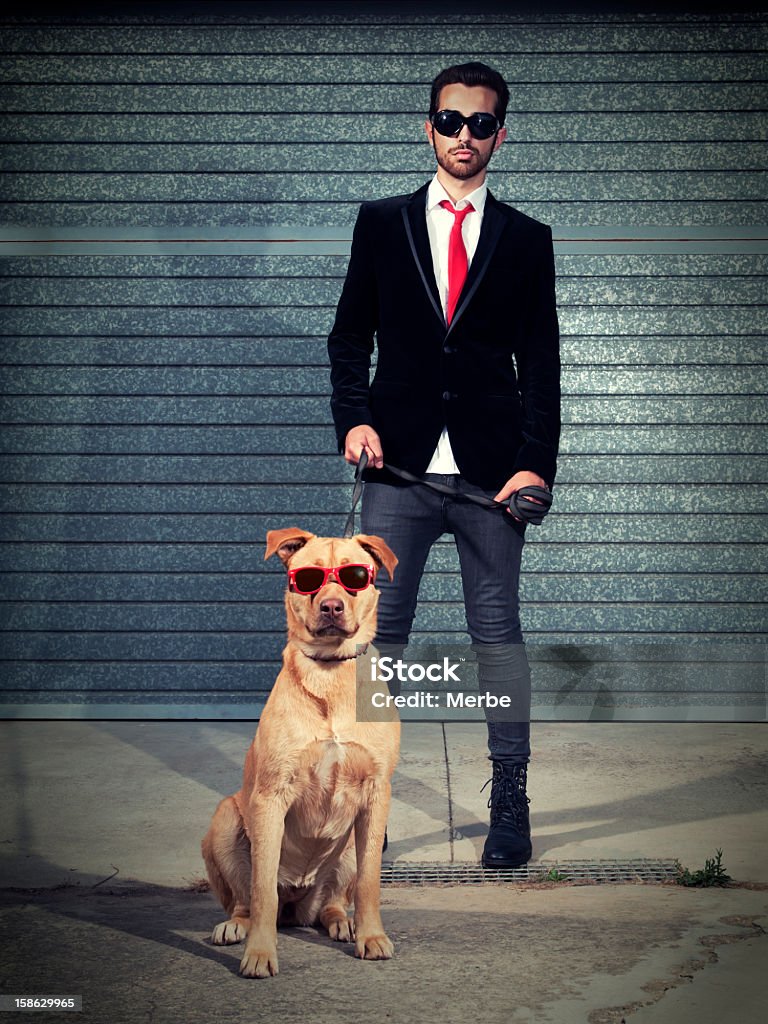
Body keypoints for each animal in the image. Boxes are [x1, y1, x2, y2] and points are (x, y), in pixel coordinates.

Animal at [198, 528, 403, 974]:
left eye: (355, 575)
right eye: (308, 577)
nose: (331, 606)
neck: (331, 671)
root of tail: (299, 901)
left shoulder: (377, 793)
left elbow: (369, 882)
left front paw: (371, 936)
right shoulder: (271, 794)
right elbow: (262, 891)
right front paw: (260, 952)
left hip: (347, 847)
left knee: (332, 902)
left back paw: (342, 922)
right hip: (226, 818)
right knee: (247, 901)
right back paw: (235, 927)